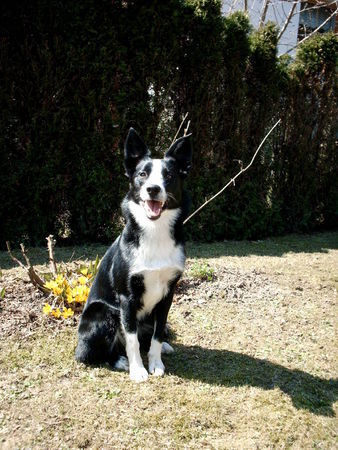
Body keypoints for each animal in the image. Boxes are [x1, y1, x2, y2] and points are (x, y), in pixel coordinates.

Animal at [76, 128, 193, 382]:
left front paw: (156, 362)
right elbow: (131, 340)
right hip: (103, 312)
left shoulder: (168, 295)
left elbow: (156, 336)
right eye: (142, 174)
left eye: (169, 175)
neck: (154, 232)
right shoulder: (126, 298)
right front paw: (137, 369)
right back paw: (118, 360)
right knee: (91, 354)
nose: (153, 189)